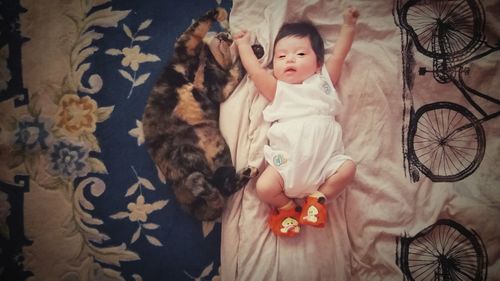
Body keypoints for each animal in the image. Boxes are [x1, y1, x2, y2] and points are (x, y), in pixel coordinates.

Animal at [143, 7, 264, 220]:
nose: (226, 36)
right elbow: (202, 24)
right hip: (186, 154)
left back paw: (246, 173)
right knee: (214, 187)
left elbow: (236, 70)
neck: (207, 61)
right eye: (227, 36)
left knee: (222, 187)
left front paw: (252, 51)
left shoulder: (220, 88)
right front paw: (223, 17)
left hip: (220, 158)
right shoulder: (186, 44)